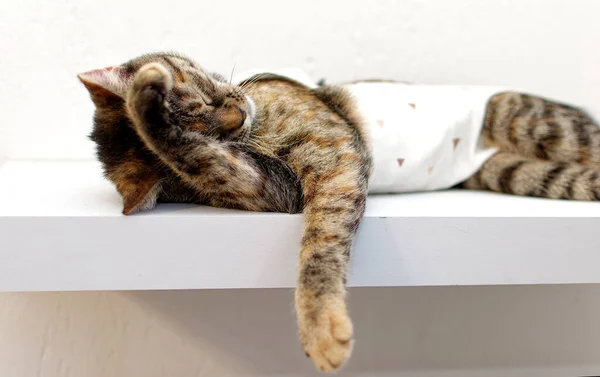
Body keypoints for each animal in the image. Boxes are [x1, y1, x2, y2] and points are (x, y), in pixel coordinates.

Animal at [78, 51, 600, 372]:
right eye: (211, 131)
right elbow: (206, 161)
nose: (237, 116)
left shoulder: (335, 153)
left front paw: (321, 329)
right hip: (523, 173)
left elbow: (321, 245)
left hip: (534, 124)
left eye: (198, 89)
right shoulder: (274, 188)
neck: (257, 125)